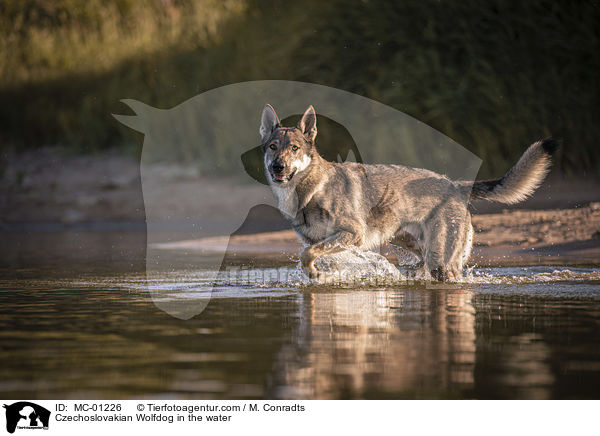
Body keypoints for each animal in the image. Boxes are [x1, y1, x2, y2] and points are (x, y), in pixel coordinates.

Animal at [258, 104, 556, 282]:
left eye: (294, 148)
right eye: (273, 147)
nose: (277, 167)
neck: (309, 192)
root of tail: (456, 185)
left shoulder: (351, 234)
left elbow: (307, 256)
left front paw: (315, 274)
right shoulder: (319, 241)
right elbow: (311, 255)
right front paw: (318, 277)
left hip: (441, 263)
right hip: (410, 244)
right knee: (420, 267)